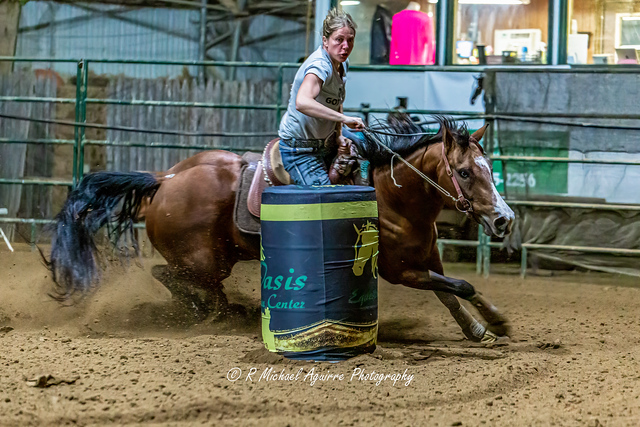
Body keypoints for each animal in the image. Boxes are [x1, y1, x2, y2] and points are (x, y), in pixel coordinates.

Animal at [46, 113, 516, 344]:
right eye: (464, 172)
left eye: (488, 167)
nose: (504, 219)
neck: (394, 196)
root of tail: (164, 180)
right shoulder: (399, 271)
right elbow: (462, 286)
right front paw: (496, 322)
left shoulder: (425, 259)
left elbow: (450, 292)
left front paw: (479, 327)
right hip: (203, 260)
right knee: (175, 277)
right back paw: (220, 314)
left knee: (184, 281)